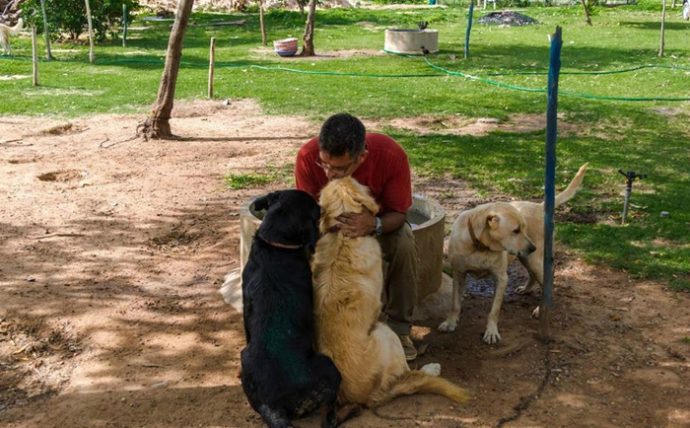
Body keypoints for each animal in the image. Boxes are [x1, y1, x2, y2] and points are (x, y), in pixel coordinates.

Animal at [239, 191, 342, 428]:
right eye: (315, 209)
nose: (322, 206)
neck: (275, 245)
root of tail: (274, 404)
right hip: (329, 367)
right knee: (331, 407)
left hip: (244, 357)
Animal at [314, 176, 468, 408]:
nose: (338, 175)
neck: (343, 235)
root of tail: (366, 398)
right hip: (386, 333)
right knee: (409, 375)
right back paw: (432, 368)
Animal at [438, 164, 588, 344]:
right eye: (516, 230)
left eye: (523, 228)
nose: (533, 247)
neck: (480, 247)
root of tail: (540, 206)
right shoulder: (459, 273)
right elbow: (454, 303)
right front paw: (450, 322)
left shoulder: (501, 278)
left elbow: (494, 310)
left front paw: (491, 331)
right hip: (525, 257)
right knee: (532, 275)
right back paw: (526, 289)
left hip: (535, 261)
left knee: (547, 283)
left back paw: (541, 309)